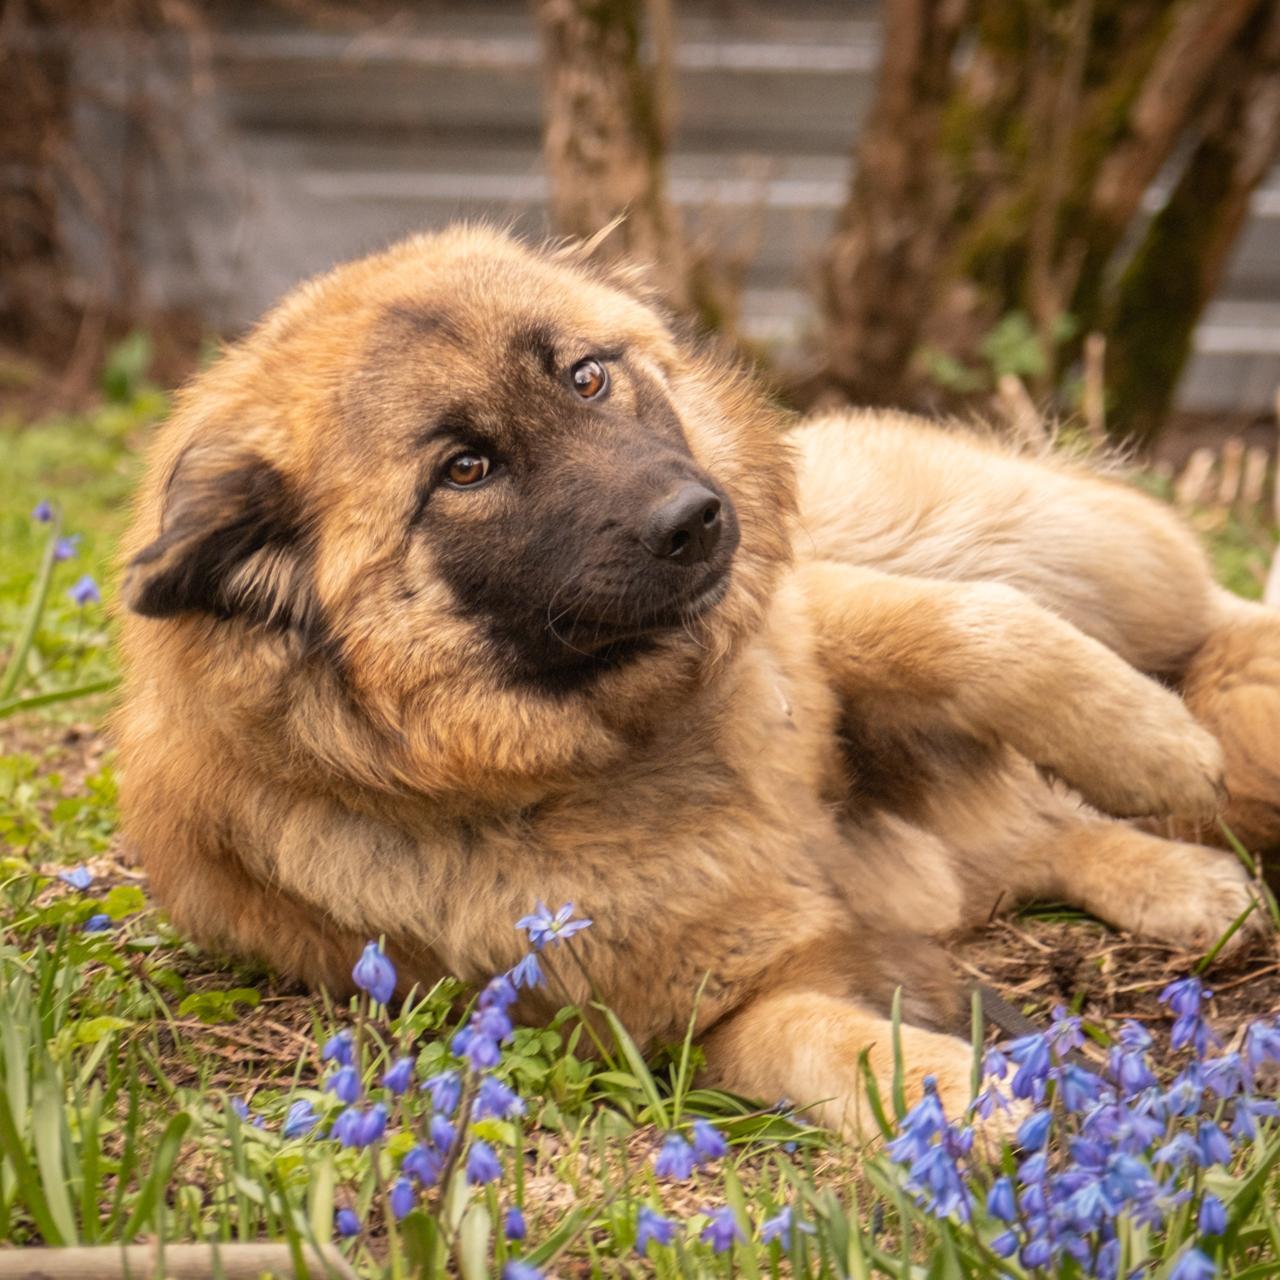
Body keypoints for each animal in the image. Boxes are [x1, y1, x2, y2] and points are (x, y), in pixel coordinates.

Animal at [115, 225, 1274, 1136]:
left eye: (587, 376)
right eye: (464, 470)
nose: (697, 519)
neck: (637, 737)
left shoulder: (807, 614)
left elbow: (971, 631)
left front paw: (1153, 743)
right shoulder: (719, 1013)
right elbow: (842, 1047)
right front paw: (972, 1107)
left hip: (1034, 536)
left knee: (1186, 625)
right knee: (1034, 827)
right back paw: (1186, 879)